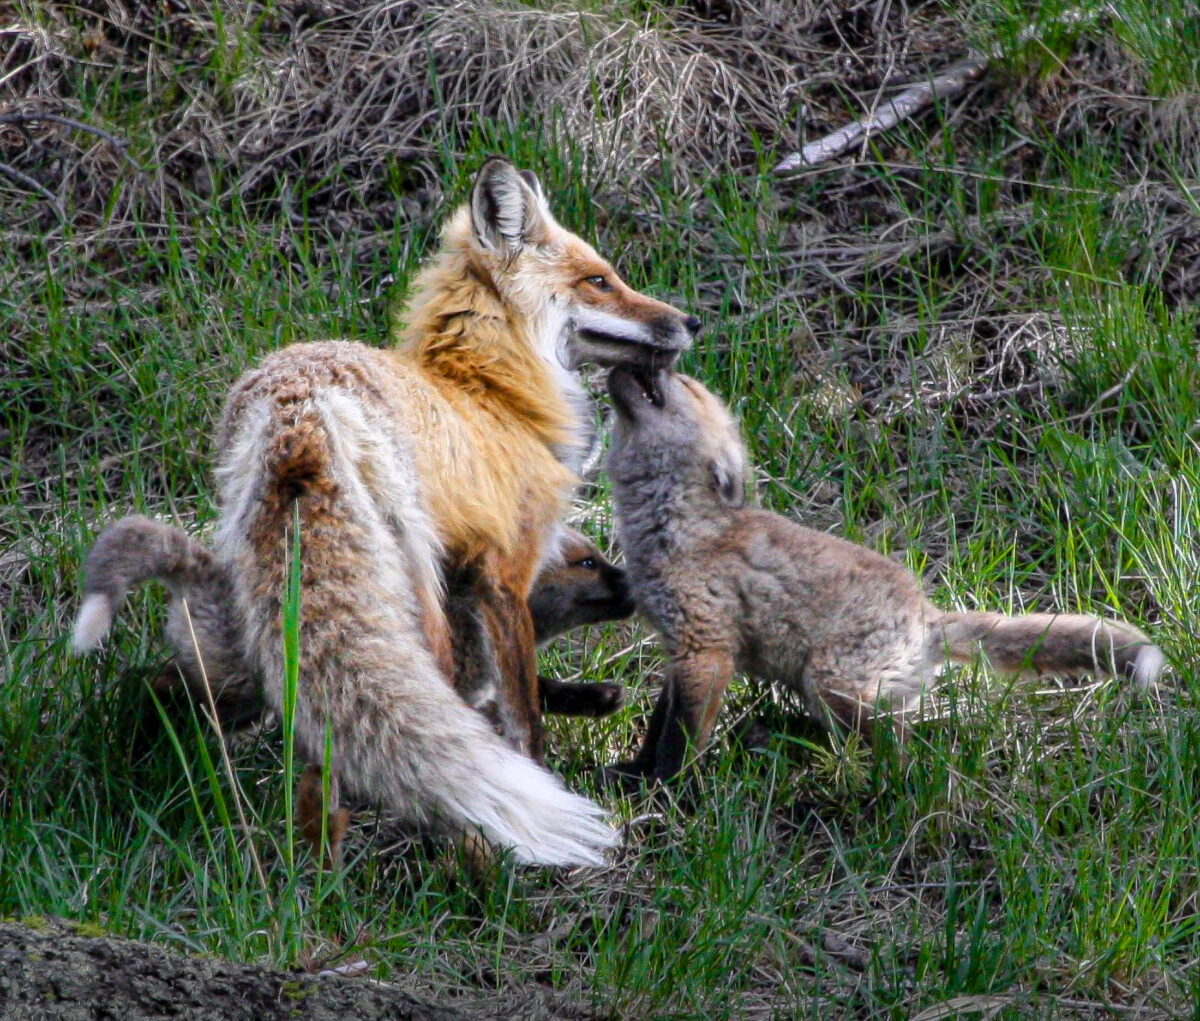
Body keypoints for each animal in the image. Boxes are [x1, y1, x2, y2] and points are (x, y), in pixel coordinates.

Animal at [76, 157, 696, 867]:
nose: (691, 322)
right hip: (413, 595)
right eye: (600, 280)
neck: (494, 395)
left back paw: (312, 870)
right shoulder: (503, 575)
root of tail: (300, 410)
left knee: (309, 748)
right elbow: (524, 719)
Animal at [603, 366, 1164, 786]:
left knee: (902, 744)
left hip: (831, 684)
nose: (648, 355)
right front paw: (633, 775)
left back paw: (893, 791)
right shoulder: (677, 650)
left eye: (684, 383)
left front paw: (668, 794)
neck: (680, 528)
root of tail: (928, 616)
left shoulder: (706, 650)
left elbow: (680, 742)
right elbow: (657, 727)